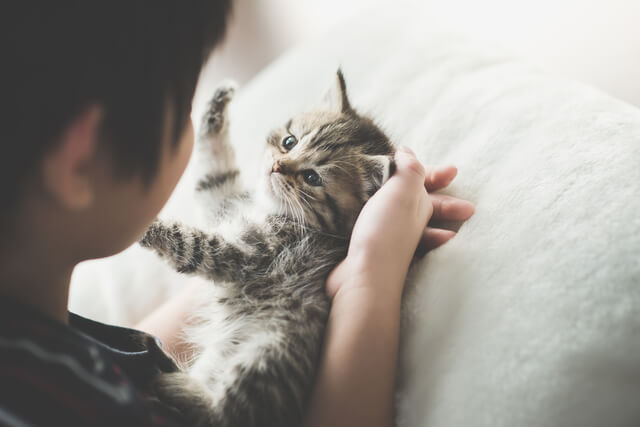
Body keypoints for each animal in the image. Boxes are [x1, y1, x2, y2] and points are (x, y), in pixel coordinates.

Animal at [141, 71, 396, 427]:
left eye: (312, 177)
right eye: (290, 142)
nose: (277, 166)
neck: (273, 210)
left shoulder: (243, 252)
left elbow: (190, 242)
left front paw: (144, 226)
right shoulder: (221, 203)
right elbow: (211, 174)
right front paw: (215, 107)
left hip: (266, 352)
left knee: (222, 415)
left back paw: (172, 381)